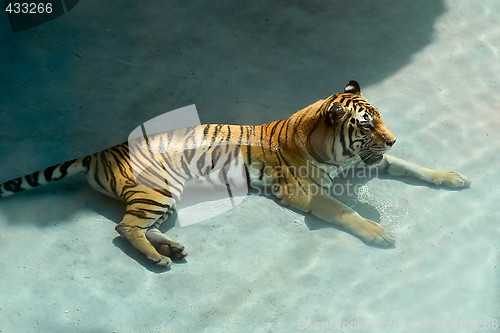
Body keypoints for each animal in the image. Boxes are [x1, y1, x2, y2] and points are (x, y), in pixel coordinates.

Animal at [0, 80, 468, 268]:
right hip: (159, 190)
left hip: (164, 200)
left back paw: (172, 249)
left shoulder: (370, 162)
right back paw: (158, 259)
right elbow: (344, 212)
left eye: (380, 121)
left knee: (136, 225)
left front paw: (453, 177)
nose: (392, 139)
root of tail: (101, 151)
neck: (332, 149)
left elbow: (415, 167)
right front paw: (378, 234)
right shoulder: (303, 192)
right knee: (123, 228)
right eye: (366, 126)